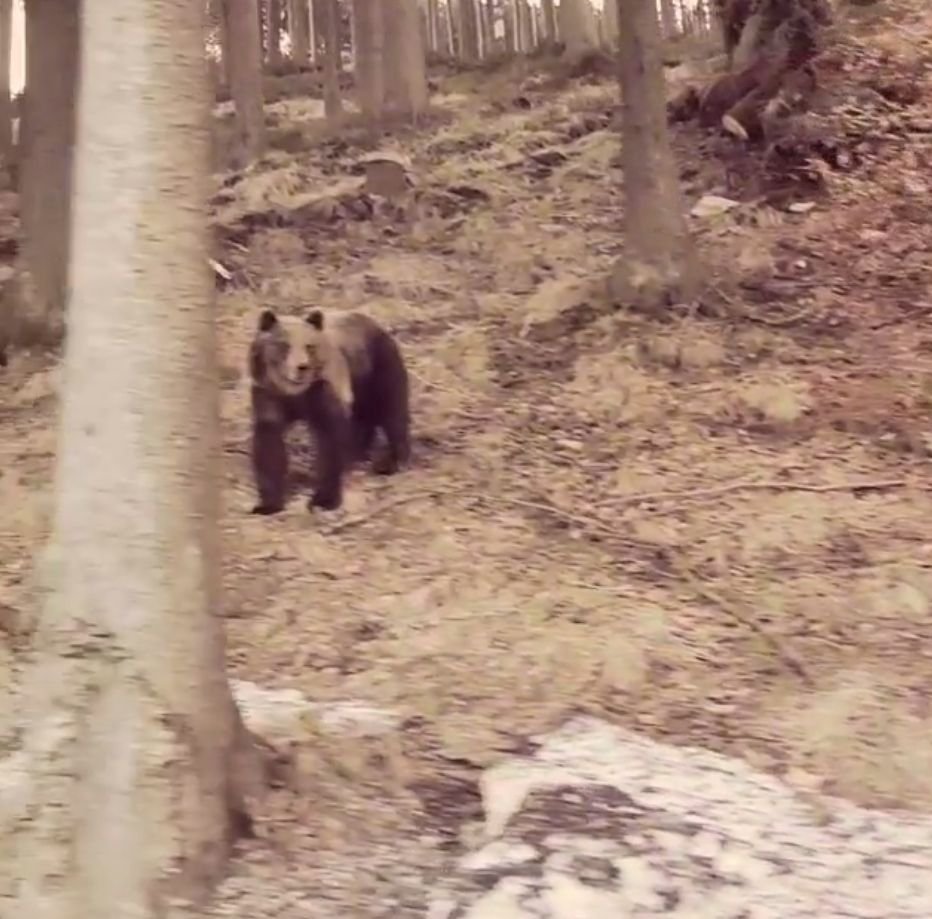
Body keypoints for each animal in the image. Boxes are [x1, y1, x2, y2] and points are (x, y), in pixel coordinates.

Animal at [249, 308, 410, 510]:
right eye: (283, 345)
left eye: (309, 346)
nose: (302, 367)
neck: (296, 393)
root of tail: (375, 324)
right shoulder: (268, 395)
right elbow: (269, 444)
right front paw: (268, 505)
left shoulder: (324, 393)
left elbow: (329, 442)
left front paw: (324, 500)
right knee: (362, 421)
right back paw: (355, 456)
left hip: (379, 368)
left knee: (393, 414)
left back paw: (390, 462)